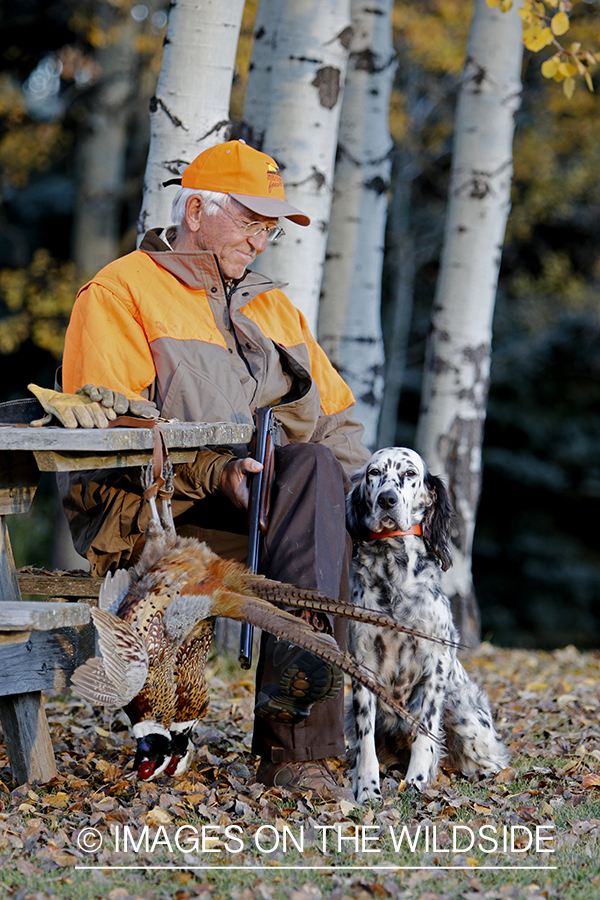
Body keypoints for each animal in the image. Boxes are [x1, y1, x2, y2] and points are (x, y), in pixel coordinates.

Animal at [346, 446, 506, 804]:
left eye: (409, 474)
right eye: (374, 473)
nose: (387, 500)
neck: (393, 571)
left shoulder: (437, 662)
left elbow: (426, 731)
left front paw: (416, 782)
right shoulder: (362, 661)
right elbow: (365, 740)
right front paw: (367, 787)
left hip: (462, 705)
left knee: (491, 760)